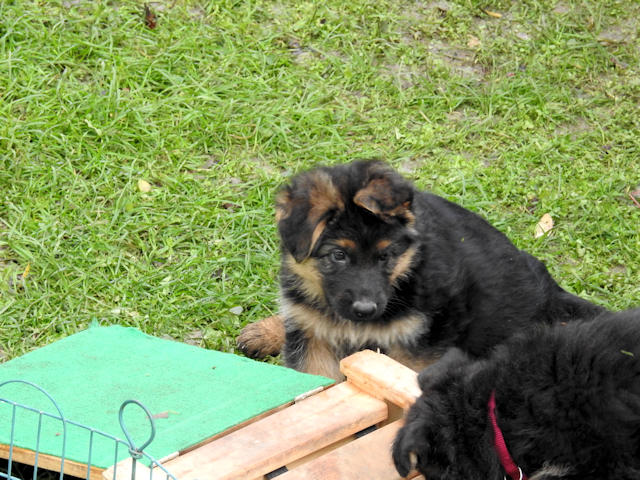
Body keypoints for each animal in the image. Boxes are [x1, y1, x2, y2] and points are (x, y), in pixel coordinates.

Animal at [237, 160, 605, 380]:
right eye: (338, 256)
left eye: (387, 256)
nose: (365, 310)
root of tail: (552, 292)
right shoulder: (312, 335)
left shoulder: (414, 348)